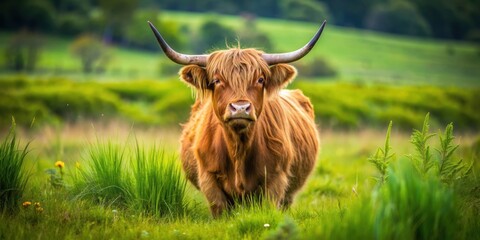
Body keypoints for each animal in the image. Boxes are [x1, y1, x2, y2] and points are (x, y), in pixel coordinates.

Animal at [148, 21, 324, 218]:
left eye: (260, 79)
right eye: (216, 81)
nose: (240, 108)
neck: (239, 149)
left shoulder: (276, 179)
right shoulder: (209, 178)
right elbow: (220, 209)